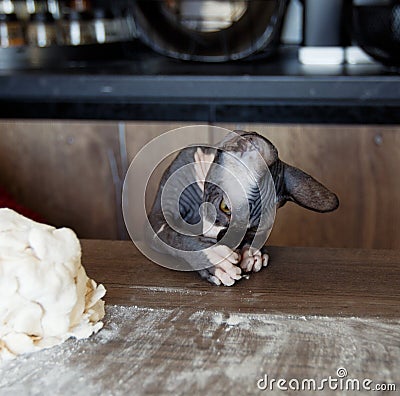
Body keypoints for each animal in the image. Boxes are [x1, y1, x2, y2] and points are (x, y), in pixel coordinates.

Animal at [147, 131, 338, 286]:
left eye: (253, 229)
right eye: (225, 207)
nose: (224, 237)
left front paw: (253, 253)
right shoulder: (156, 219)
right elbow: (176, 236)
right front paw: (215, 259)